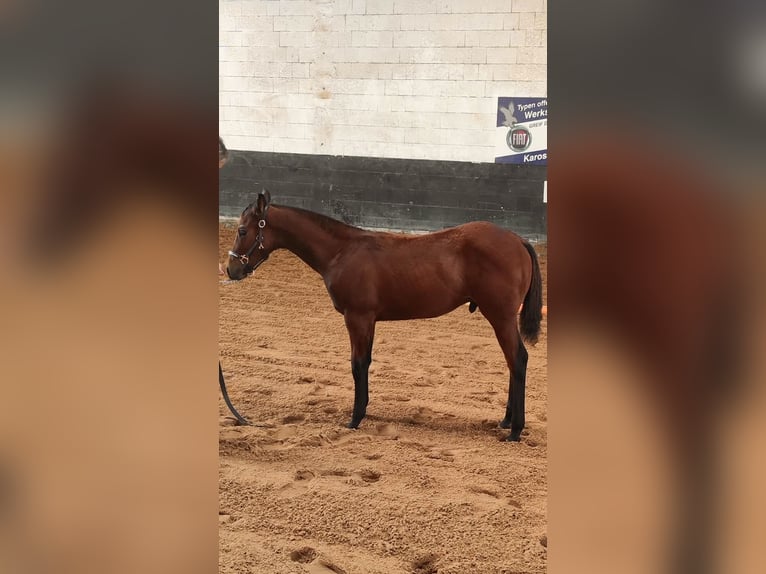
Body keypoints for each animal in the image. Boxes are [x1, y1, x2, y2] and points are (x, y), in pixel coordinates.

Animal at [225, 190, 543, 441]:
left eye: (242, 231)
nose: (231, 270)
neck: (342, 250)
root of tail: (518, 240)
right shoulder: (369, 320)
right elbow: (365, 363)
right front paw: (363, 411)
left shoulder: (357, 317)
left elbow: (357, 365)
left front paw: (354, 418)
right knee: (512, 362)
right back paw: (506, 421)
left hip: (500, 316)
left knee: (518, 360)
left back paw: (515, 430)